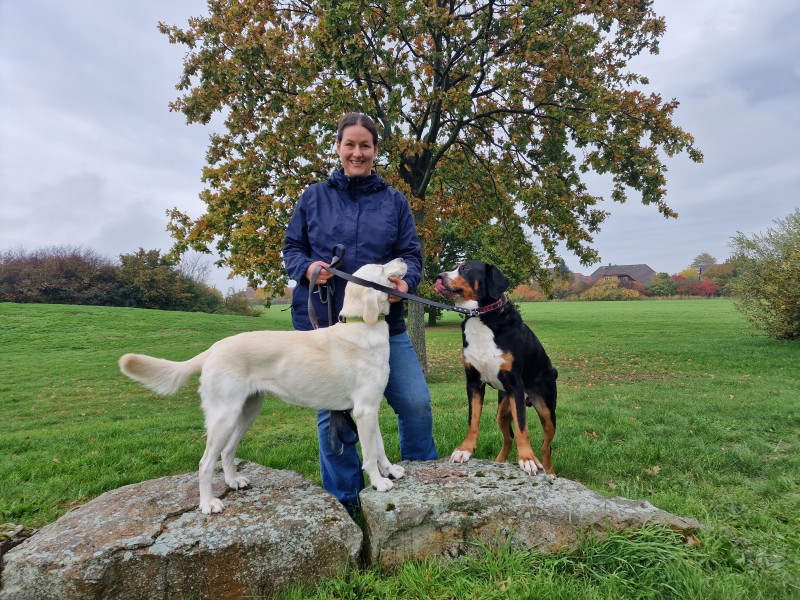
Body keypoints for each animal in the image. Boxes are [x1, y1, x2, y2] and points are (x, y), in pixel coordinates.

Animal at [119, 258, 406, 516]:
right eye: (381, 267)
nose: (403, 258)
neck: (363, 325)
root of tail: (213, 348)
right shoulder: (364, 411)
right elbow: (369, 454)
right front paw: (379, 482)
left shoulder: (371, 409)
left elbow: (379, 448)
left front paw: (390, 470)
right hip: (224, 417)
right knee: (205, 463)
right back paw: (208, 503)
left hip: (247, 412)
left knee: (227, 452)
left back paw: (233, 481)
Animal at [438, 260, 556, 476]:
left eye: (465, 268)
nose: (439, 277)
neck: (480, 317)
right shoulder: (473, 382)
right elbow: (472, 420)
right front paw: (465, 449)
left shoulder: (515, 385)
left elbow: (522, 427)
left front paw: (527, 459)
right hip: (502, 410)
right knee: (508, 438)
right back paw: (499, 461)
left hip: (546, 411)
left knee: (546, 445)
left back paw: (549, 472)